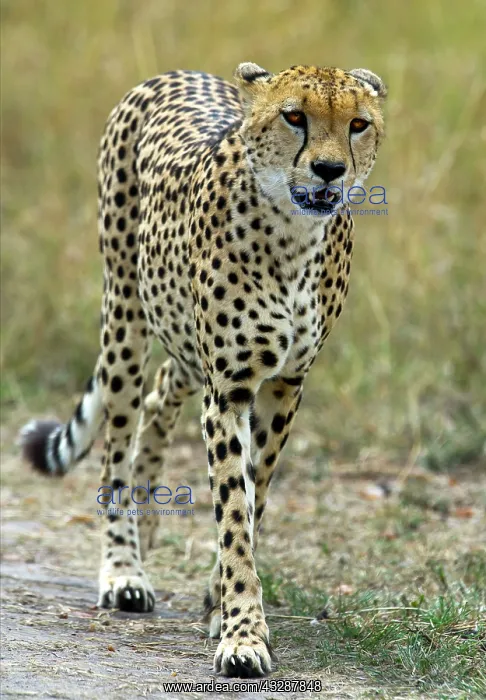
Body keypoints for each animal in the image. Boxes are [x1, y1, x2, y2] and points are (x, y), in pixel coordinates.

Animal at [19, 62, 386, 678]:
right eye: (294, 116)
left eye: (358, 123)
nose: (330, 170)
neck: (294, 236)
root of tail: (173, 73)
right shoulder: (232, 389)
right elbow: (234, 510)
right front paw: (243, 634)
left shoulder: (284, 385)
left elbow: (254, 497)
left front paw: (221, 606)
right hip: (125, 315)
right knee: (118, 440)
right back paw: (124, 567)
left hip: (185, 342)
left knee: (161, 392)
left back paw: (148, 521)